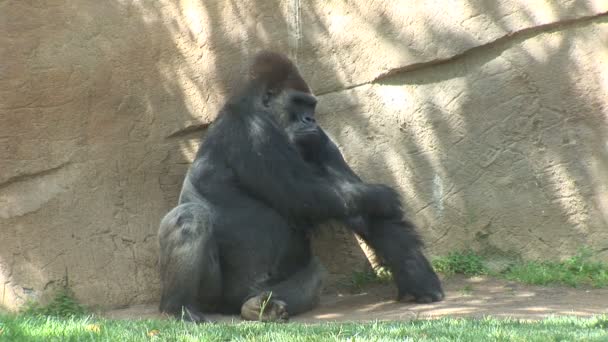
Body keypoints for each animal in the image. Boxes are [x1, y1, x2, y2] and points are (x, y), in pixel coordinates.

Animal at [157, 51, 442, 324]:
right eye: (297, 102)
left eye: (310, 105)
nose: (310, 120)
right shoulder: (253, 129)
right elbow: (301, 194)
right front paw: (382, 196)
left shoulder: (319, 139)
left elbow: (363, 214)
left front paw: (415, 273)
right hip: (211, 297)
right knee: (190, 217)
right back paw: (179, 307)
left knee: (313, 275)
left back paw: (258, 308)